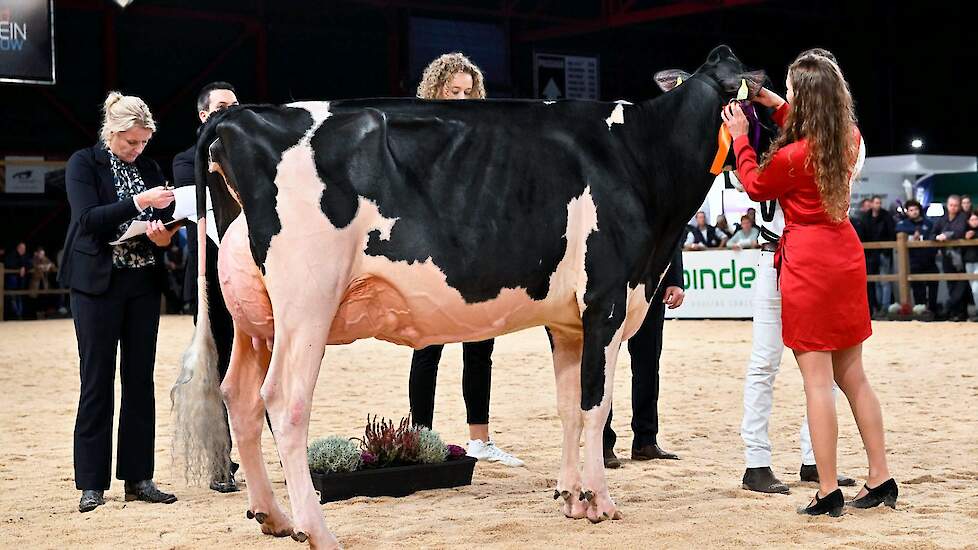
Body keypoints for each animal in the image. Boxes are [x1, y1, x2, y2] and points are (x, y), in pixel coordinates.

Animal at [175, 46, 768, 548]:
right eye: (761, 93)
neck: (639, 157)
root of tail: (238, 116)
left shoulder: (568, 321)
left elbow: (568, 408)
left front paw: (569, 497)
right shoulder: (607, 303)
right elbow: (595, 405)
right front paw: (599, 501)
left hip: (254, 316)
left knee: (239, 396)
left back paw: (271, 515)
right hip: (307, 302)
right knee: (284, 401)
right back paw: (316, 529)